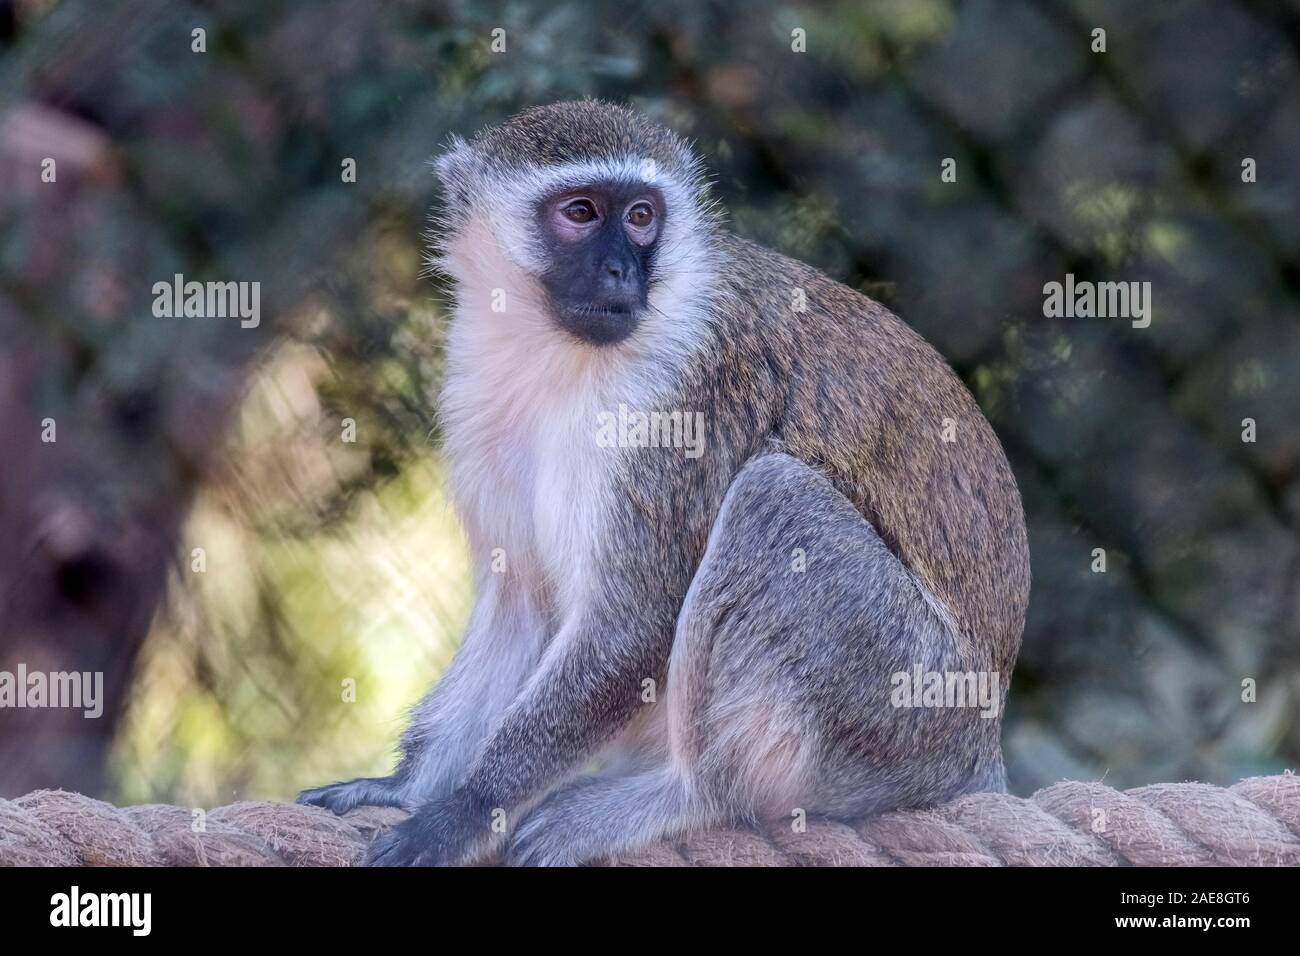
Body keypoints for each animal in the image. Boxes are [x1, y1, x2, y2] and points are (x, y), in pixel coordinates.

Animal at [299, 100, 1029, 863]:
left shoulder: (683, 403)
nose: (621, 271)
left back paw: (687, 794)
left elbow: (632, 625)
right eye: (582, 212)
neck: (559, 355)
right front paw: (406, 790)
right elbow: (519, 602)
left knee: (777, 499)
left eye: (642, 216)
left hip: (905, 708)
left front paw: (462, 813)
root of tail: (978, 749)